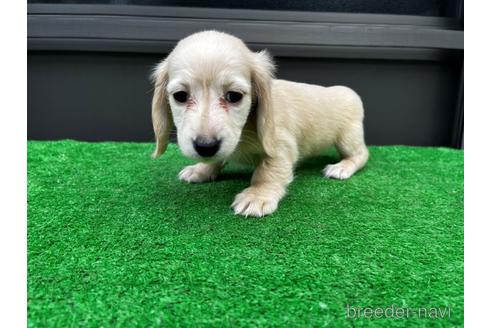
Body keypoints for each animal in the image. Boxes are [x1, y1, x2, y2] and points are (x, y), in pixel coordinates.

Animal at [152, 29, 368, 217]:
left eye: (234, 96)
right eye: (180, 96)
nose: (206, 146)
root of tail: (348, 92)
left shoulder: (282, 147)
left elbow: (267, 172)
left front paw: (257, 195)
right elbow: (216, 159)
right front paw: (200, 170)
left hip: (348, 138)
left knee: (361, 154)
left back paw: (342, 167)